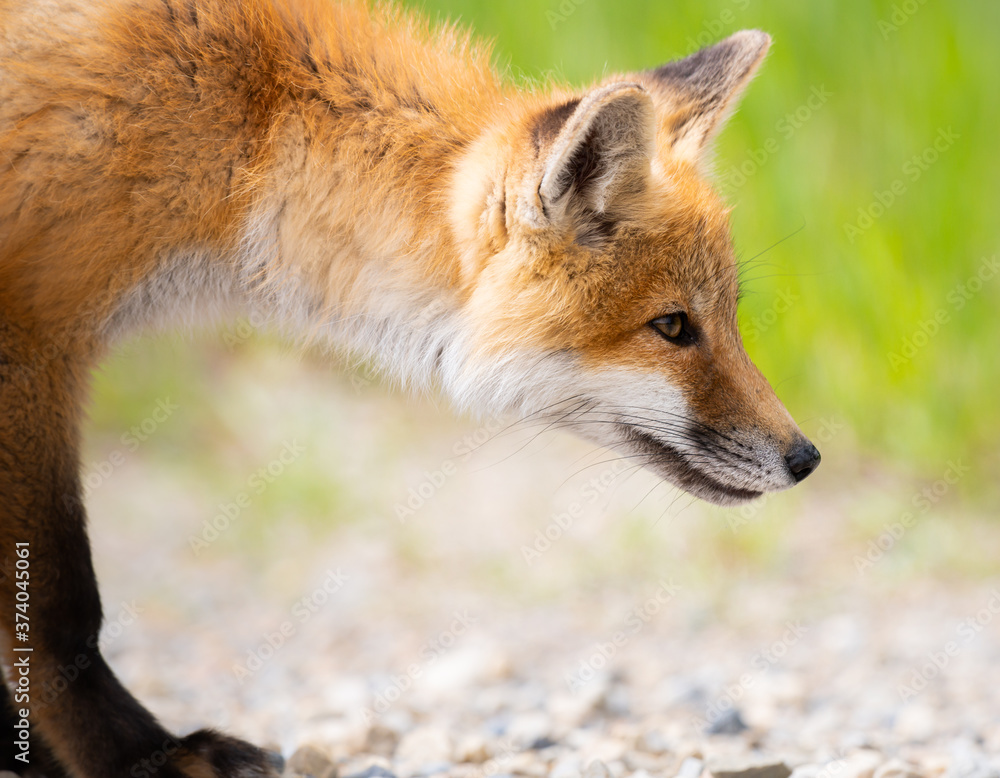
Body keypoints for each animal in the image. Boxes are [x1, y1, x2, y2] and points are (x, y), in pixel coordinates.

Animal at [0, 0, 820, 768]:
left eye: (728, 317)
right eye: (674, 326)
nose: (806, 458)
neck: (249, 125)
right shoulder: (32, 339)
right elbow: (61, 602)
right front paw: (139, 758)